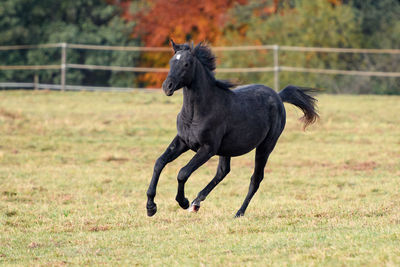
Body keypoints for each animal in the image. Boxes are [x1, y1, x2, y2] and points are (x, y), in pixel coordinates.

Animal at [145, 41, 318, 218]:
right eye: (171, 62)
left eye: (186, 64)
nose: (167, 87)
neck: (198, 112)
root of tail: (278, 96)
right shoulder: (182, 141)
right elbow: (159, 163)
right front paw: (151, 207)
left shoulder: (208, 149)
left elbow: (183, 172)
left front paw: (183, 202)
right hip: (227, 149)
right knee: (223, 171)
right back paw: (197, 203)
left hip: (265, 146)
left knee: (255, 179)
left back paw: (237, 212)